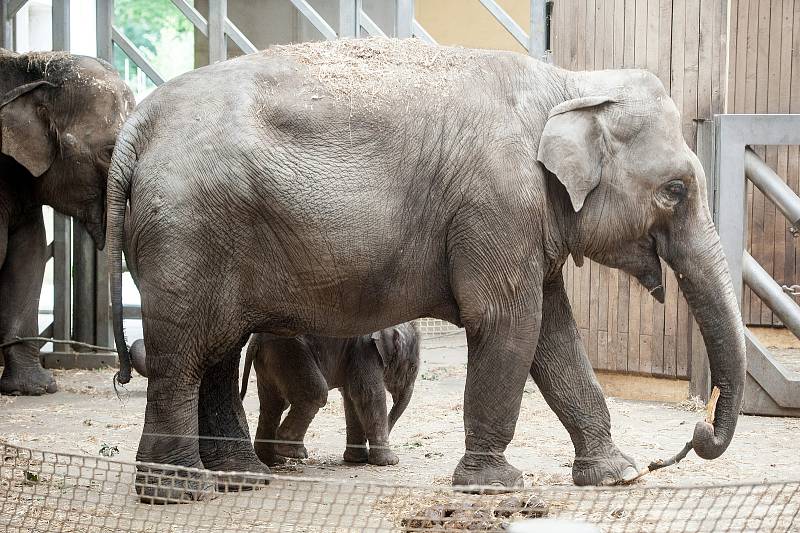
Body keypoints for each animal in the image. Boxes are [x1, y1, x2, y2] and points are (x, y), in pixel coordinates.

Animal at [239, 320, 418, 466]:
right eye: (412, 368)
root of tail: (255, 339)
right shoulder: (366, 351)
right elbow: (368, 394)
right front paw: (390, 462)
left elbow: (351, 396)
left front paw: (357, 460)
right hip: (288, 351)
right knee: (314, 395)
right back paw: (293, 453)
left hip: (271, 358)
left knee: (273, 405)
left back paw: (273, 460)